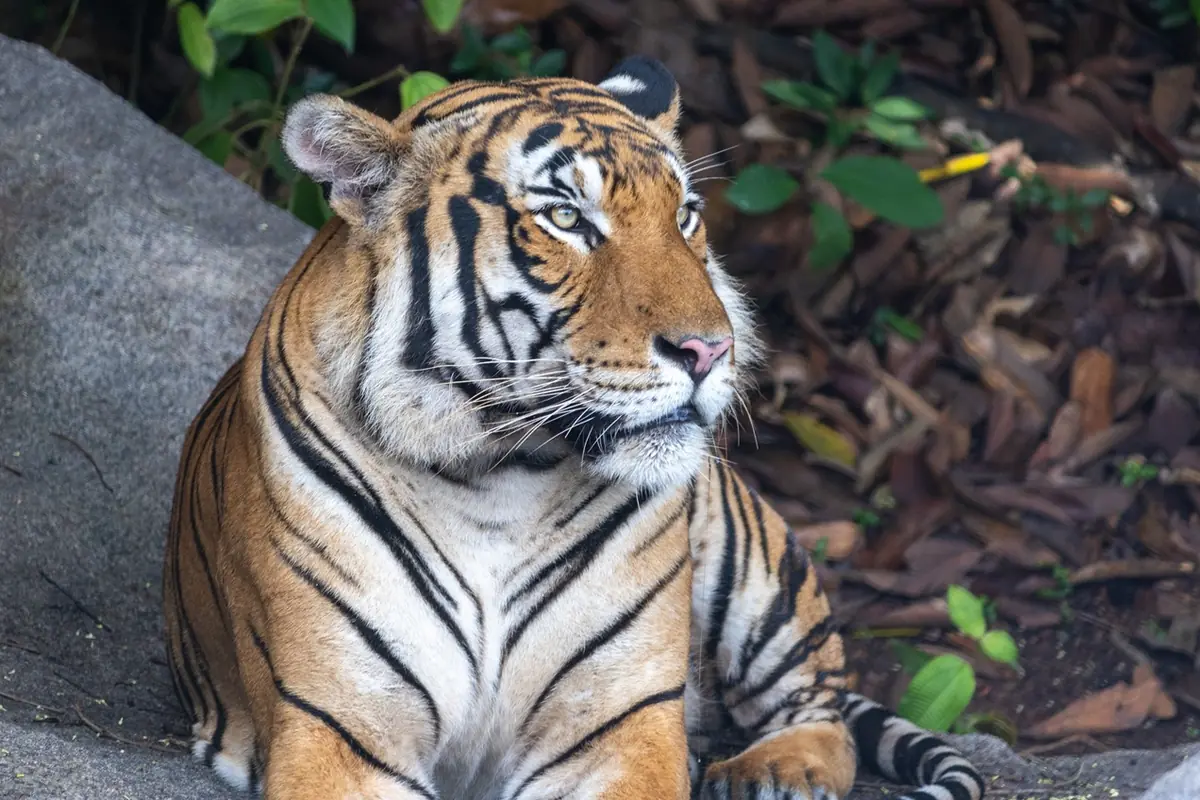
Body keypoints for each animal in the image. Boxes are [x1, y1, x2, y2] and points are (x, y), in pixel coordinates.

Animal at [163, 56, 986, 800]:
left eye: (684, 216)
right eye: (565, 219)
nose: (710, 350)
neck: (496, 478)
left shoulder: (618, 726)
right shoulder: (342, 728)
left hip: (753, 571)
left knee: (819, 701)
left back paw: (778, 774)